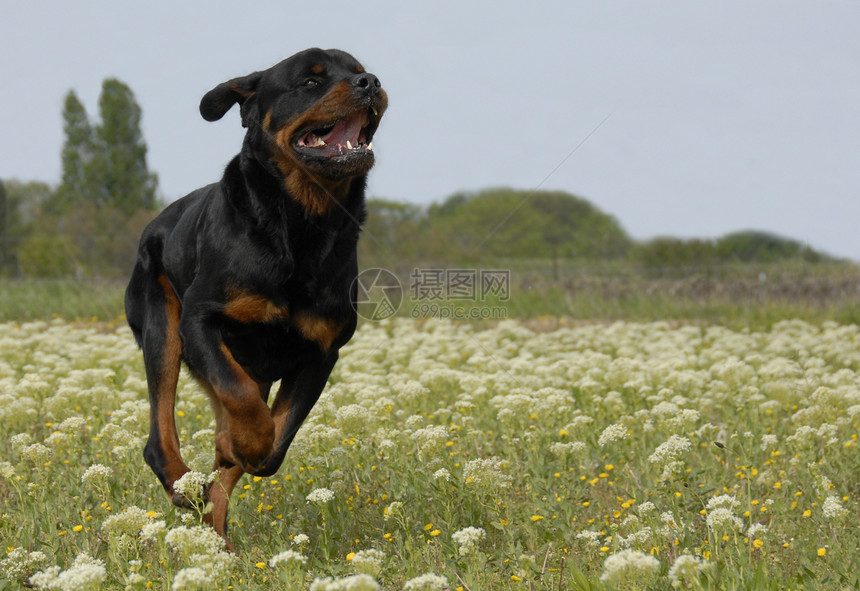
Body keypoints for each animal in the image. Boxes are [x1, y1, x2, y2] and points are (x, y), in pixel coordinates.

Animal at [123, 48, 386, 548]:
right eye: (310, 81)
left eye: (360, 70)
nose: (370, 82)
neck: (303, 223)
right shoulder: (201, 322)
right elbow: (240, 396)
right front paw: (242, 442)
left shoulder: (322, 351)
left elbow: (276, 438)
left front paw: (242, 447)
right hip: (162, 326)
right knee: (161, 436)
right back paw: (184, 486)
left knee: (219, 476)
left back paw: (217, 541)